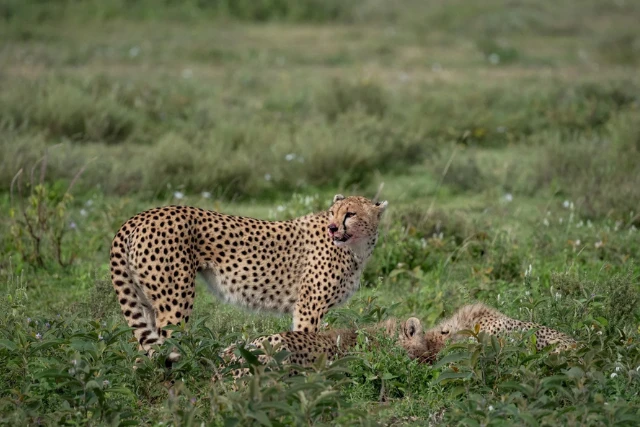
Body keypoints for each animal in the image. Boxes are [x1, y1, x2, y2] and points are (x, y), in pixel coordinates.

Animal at [109, 194, 388, 363]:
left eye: (350, 214)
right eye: (332, 213)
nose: (332, 227)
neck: (356, 248)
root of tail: (141, 216)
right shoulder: (309, 307)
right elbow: (306, 338)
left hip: (146, 303)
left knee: (143, 353)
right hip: (175, 302)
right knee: (167, 347)